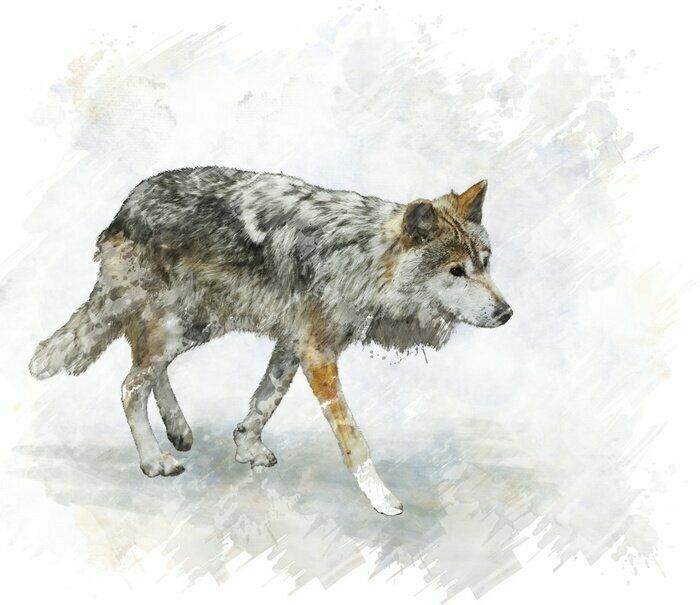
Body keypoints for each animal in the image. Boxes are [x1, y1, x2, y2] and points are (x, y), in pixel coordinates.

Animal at [29, 167, 512, 515]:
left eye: (485, 264)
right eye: (456, 271)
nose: (507, 313)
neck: (364, 259)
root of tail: (125, 209)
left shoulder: (291, 344)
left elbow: (265, 400)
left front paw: (246, 446)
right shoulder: (318, 353)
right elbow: (354, 439)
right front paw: (381, 498)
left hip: (193, 327)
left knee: (148, 370)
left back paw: (179, 430)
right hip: (178, 328)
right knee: (130, 385)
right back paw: (154, 460)